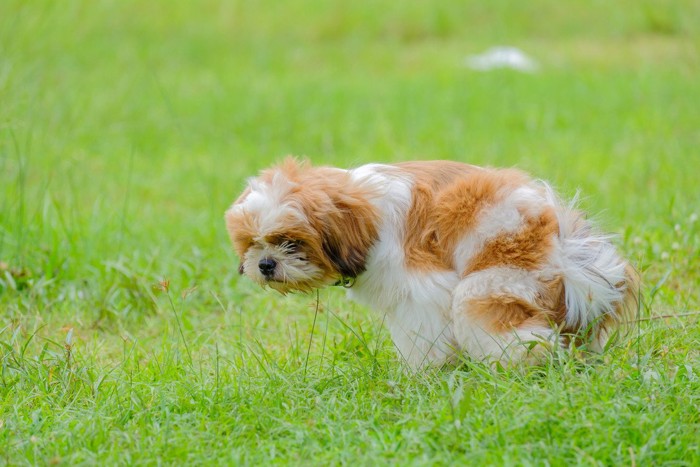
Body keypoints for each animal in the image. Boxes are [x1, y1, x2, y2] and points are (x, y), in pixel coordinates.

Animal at [226, 158, 640, 370]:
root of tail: (566, 247)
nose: (265, 264)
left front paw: (422, 374)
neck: (365, 213)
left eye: (291, 242)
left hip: (489, 282)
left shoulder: (419, 287)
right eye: (251, 244)